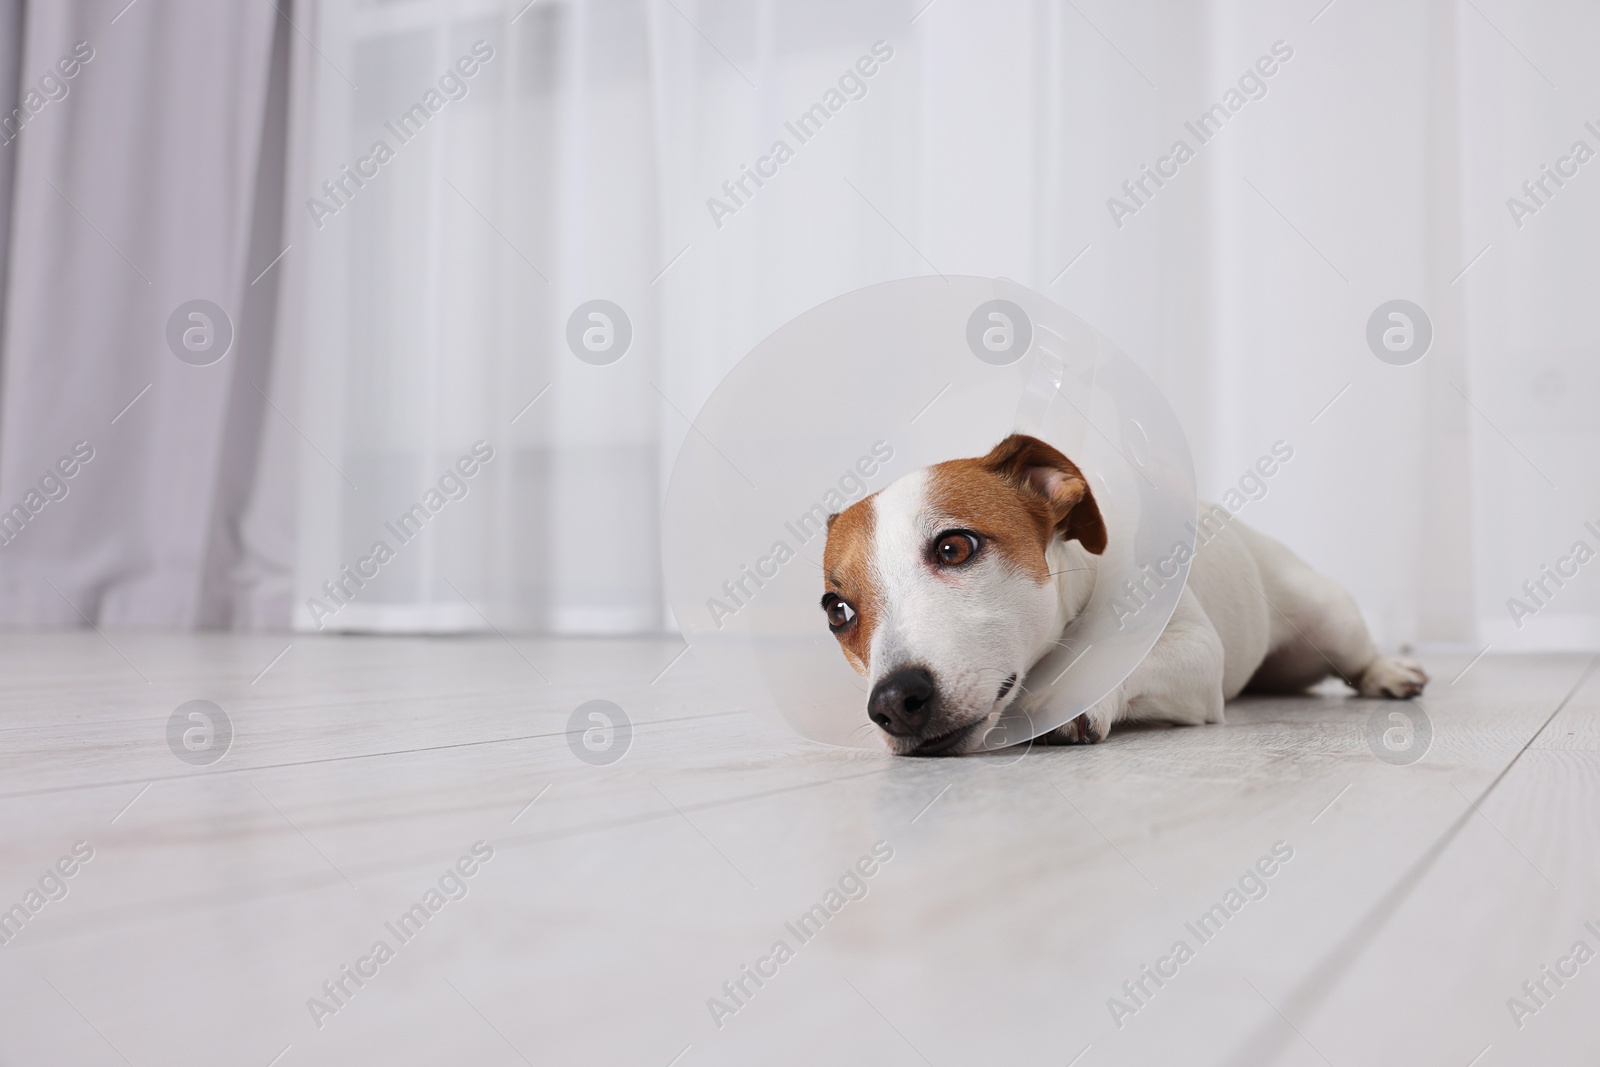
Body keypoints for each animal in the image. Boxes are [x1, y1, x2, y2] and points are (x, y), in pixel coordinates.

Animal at [825, 435, 1427, 758]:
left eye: (953, 547)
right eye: (837, 611)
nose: (893, 702)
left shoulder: (1197, 651)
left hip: (1327, 617)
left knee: (1357, 654)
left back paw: (1390, 672)